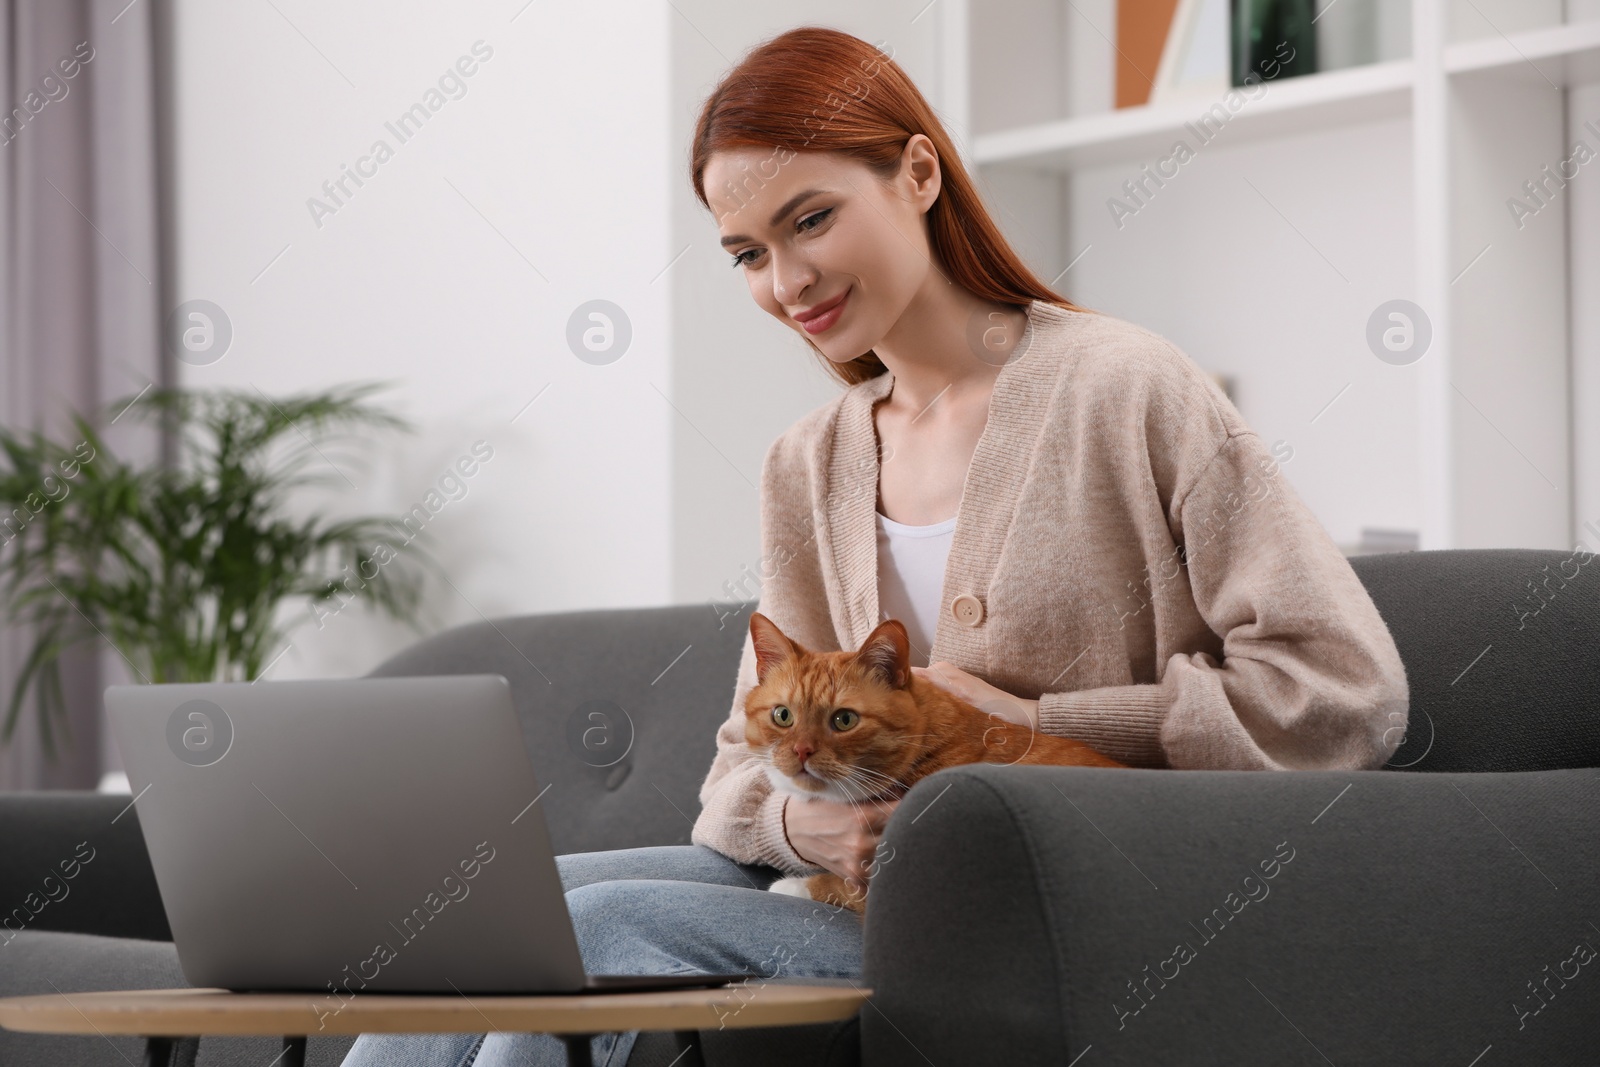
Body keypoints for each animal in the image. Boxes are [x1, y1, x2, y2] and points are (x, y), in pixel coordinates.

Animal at [739, 607, 1126, 921]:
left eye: (844, 720)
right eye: (783, 715)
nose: (801, 751)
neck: (925, 749)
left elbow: (839, 887)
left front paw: (791, 885)